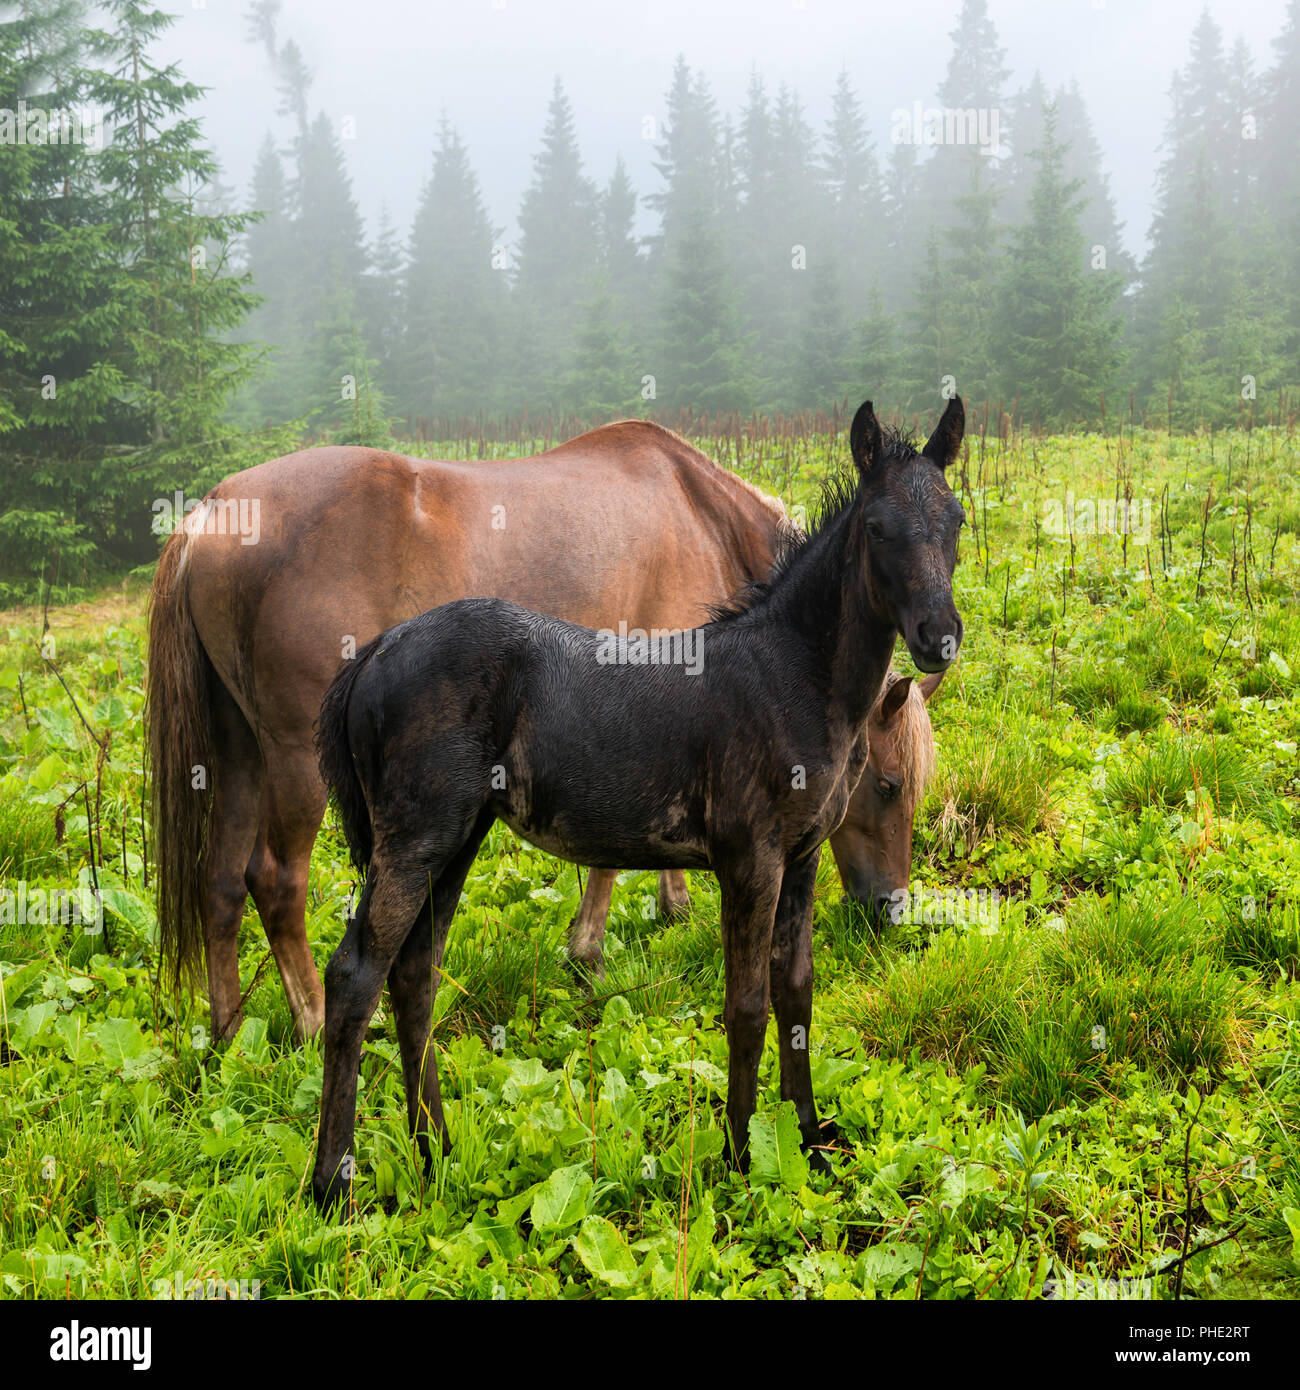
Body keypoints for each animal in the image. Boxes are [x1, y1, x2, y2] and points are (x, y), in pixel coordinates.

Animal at [146, 418, 943, 1044]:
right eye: (889, 785)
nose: (890, 912)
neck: (700, 513)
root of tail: (210, 515)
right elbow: (607, 863)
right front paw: (589, 948)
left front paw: (670, 905)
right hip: (293, 763)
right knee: (275, 881)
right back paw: (315, 1022)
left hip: (237, 756)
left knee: (220, 882)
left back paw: (226, 1033)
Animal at [310, 396, 966, 1209]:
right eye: (877, 526)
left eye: (957, 518)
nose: (940, 637)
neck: (790, 673)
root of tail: (375, 650)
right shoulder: (750, 860)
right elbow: (746, 1005)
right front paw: (740, 1159)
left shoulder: (803, 859)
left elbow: (798, 993)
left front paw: (810, 1142)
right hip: (413, 840)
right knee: (355, 977)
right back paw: (332, 1187)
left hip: (455, 840)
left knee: (414, 975)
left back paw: (437, 1154)